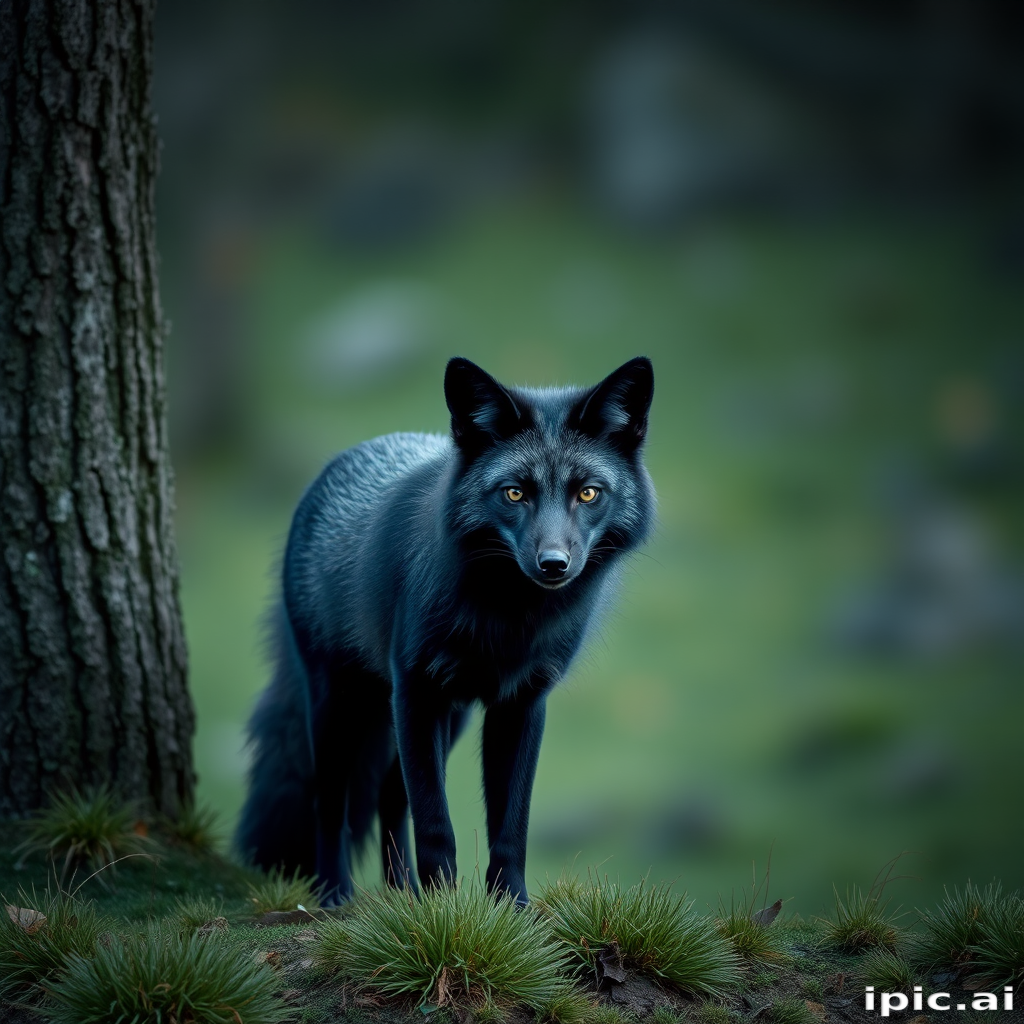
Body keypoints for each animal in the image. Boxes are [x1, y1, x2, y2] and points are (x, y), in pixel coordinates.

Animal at [235, 355, 655, 906]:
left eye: (587, 493)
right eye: (515, 493)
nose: (553, 564)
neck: (508, 620)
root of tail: (345, 457)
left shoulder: (520, 703)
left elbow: (510, 827)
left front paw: (509, 909)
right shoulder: (417, 689)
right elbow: (436, 824)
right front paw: (443, 912)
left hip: (445, 719)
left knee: (389, 799)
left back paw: (402, 896)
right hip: (341, 706)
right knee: (332, 804)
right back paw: (335, 895)